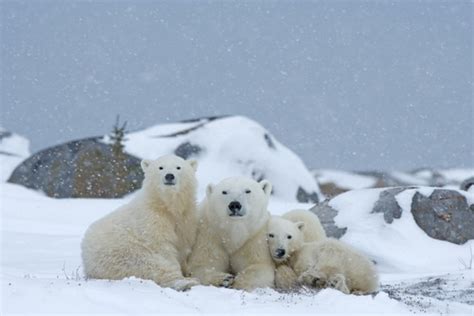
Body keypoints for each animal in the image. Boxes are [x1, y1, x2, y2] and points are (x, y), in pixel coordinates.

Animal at [80, 154, 199, 290]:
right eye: (160, 167)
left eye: (178, 167)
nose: (169, 176)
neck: (165, 206)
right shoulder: (152, 220)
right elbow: (163, 248)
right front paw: (183, 276)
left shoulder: (186, 219)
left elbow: (182, 245)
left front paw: (187, 270)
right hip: (122, 254)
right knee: (150, 265)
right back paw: (185, 283)